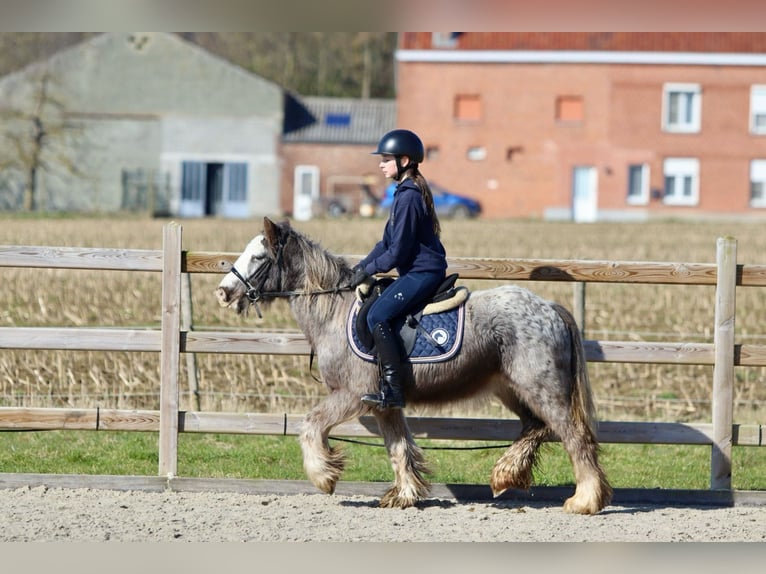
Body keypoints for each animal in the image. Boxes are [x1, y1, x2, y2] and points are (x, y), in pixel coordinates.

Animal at [219, 218, 616, 516]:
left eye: (258, 256)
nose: (223, 292)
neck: (334, 311)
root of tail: (550, 307)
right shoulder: (384, 403)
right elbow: (398, 447)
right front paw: (405, 494)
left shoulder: (353, 395)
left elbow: (311, 425)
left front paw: (324, 476)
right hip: (512, 388)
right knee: (536, 427)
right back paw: (505, 475)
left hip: (543, 389)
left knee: (574, 437)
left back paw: (584, 501)